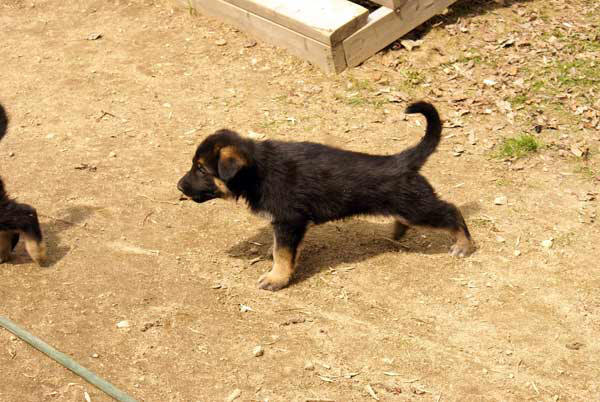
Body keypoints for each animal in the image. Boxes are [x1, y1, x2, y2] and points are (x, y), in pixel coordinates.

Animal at [178, 102, 474, 290]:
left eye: (201, 169)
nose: (179, 187)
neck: (258, 169)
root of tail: (401, 160)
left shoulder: (288, 221)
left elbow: (281, 253)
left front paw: (277, 279)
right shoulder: (289, 225)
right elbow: (283, 251)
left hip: (417, 207)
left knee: (451, 211)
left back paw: (463, 244)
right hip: (408, 206)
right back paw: (399, 232)